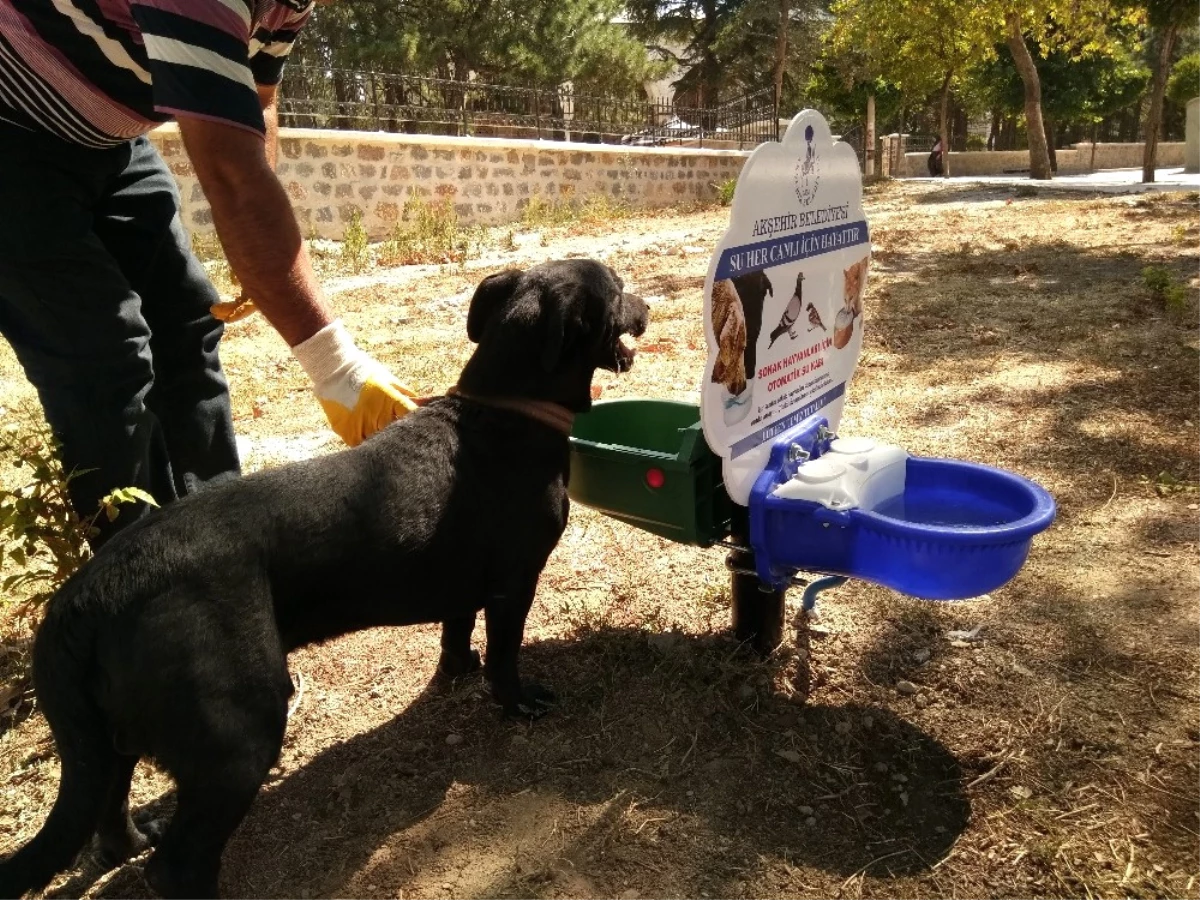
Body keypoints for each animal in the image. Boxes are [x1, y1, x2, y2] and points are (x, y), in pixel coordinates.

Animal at [0, 256, 648, 897]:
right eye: (617, 288)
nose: (646, 305)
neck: (503, 409)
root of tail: (88, 595)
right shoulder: (514, 584)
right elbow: (505, 657)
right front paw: (518, 702)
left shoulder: (464, 583)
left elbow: (455, 631)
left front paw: (457, 670)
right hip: (240, 734)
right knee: (179, 864)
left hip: (108, 742)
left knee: (107, 816)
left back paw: (131, 839)